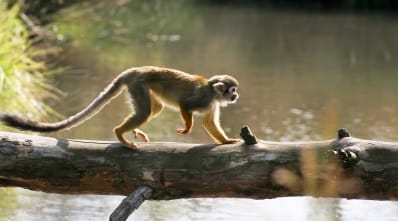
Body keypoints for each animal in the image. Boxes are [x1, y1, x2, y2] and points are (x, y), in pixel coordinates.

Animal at [0, 65, 241, 148]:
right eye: (232, 90)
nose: (236, 96)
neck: (212, 92)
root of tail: (134, 70)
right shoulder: (202, 98)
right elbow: (185, 105)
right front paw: (188, 128)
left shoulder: (212, 104)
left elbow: (209, 122)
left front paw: (227, 141)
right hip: (139, 84)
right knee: (144, 111)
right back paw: (120, 134)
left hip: (140, 87)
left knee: (153, 109)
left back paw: (132, 130)